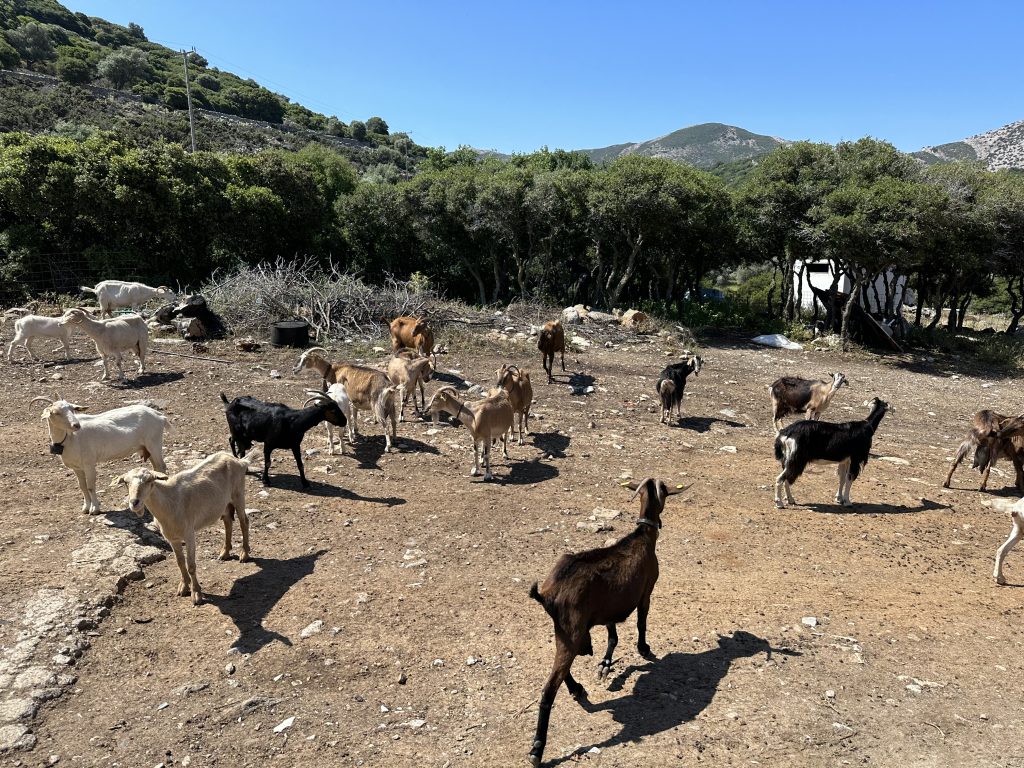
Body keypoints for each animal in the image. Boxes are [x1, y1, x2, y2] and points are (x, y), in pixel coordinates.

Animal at [33, 396, 166, 514]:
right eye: (56, 412)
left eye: (72, 409)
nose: (76, 425)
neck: (70, 439)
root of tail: (160, 416)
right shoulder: (77, 468)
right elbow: (82, 486)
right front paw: (85, 508)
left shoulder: (89, 464)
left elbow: (90, 486)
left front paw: (94, 509)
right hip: (148, 448)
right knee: (156, 467)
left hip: (154, 444)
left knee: (161, 466)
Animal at [110, 450, 254, 606]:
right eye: (126, 482)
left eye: (149, 481)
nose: (134, 502)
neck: (169, 504)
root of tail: (240, 461)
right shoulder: (172, 538)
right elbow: (180, 563)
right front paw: (184, 587)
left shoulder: (189, 534)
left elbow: (191, 565)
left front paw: (196, 594)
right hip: (224, 503)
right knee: (228, 521)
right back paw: (225, 553)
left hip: (238, 494)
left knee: (244, 521)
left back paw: (244, 554)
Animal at [527, 478, 683, 767]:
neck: (643, 538)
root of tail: (548, 595)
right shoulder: (647, 590)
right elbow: (641, 622)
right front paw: (644, 649)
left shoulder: (609, 608)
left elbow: (612, 635)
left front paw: (606, 665)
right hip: (572, 629)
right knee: (549, 689)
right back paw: (537, 749)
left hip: (565, 631)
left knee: (562, 667)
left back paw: (577, 688)